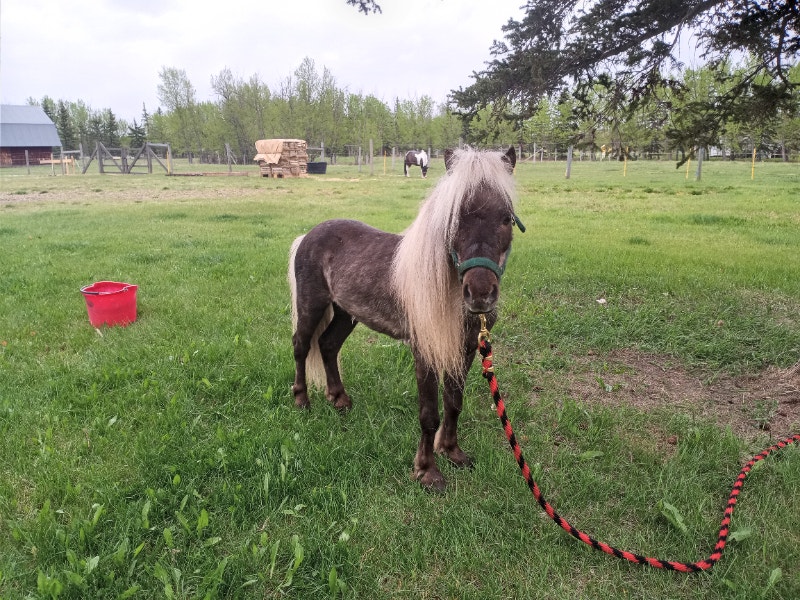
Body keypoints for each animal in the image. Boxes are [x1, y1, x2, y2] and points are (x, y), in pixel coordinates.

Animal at [288, 146, 521, 491]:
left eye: (506, 218)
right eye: (453, 219)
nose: (480, 294)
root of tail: (308, 235)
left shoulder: (464, 350)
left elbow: (454, 402)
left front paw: (452, 452)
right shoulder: (425, 352)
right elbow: (429, 414)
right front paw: (427, 472)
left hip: (346, 313)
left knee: (328, 345)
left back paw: (340, 400)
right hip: (311, 305)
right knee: (302, 346)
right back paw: (302, 401)